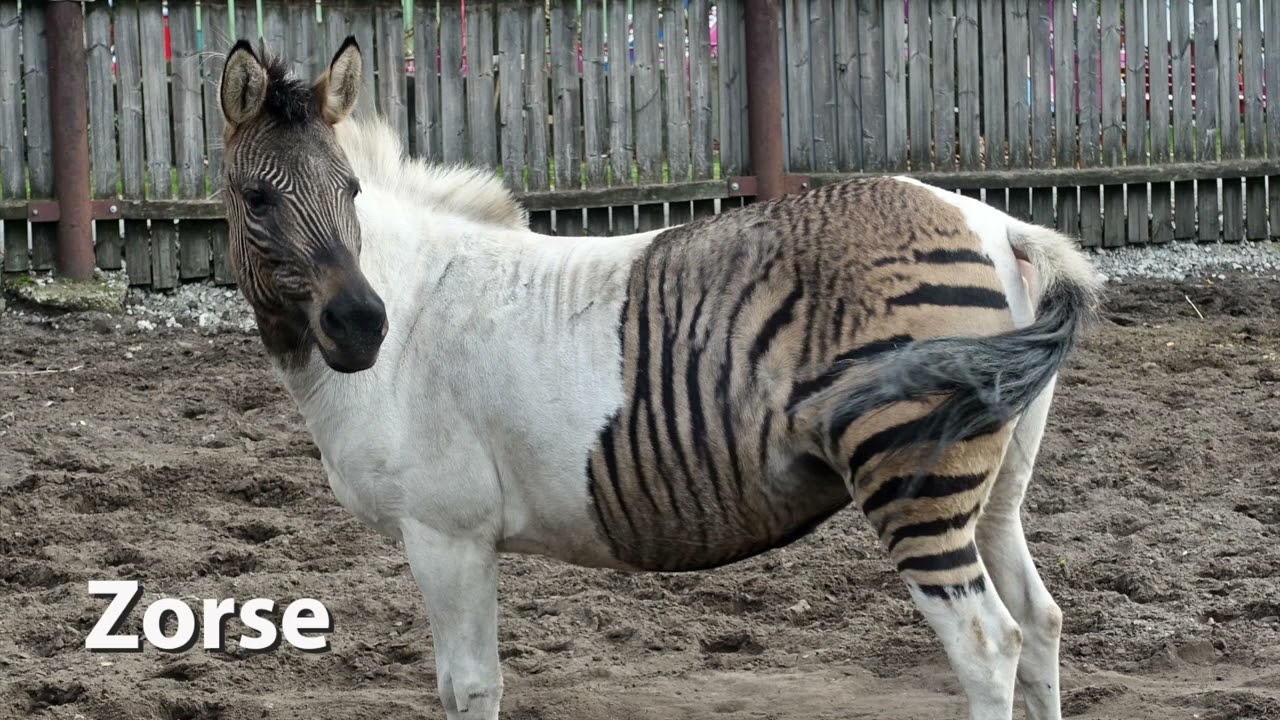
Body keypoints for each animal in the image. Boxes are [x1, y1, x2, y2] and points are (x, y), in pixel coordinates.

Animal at [216, 36, 1102, 720]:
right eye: (255, 197)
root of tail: (995, 221)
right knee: (1040, 624)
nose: (362, 327)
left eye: (351, 191)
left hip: (915, 483)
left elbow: (468, 689)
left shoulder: (447, 534)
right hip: (993, 489)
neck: (415, 310)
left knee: (988, 645)